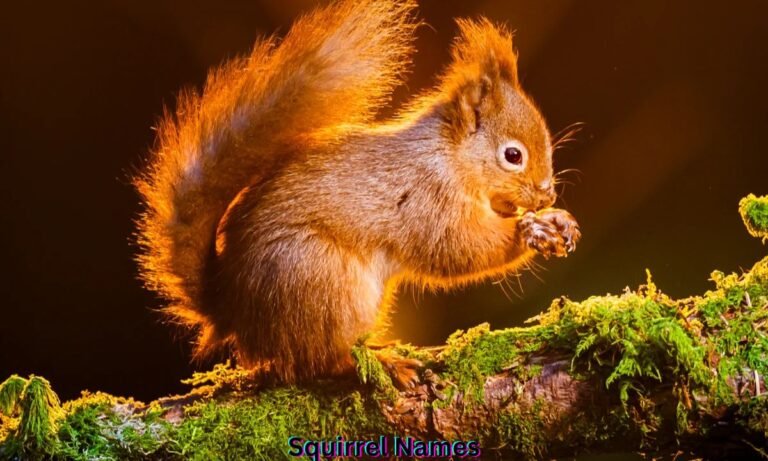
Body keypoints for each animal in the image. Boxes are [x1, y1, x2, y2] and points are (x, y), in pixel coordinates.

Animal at [135, 0, 581, 385]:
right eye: (512, 155)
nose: (545, 196)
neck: (450, 157)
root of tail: (232, 309)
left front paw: (557, 221)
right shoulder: (427, 199)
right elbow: (459, 248)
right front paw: (529, 231)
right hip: (324, 283)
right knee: (322, 359)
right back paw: (384, 363)